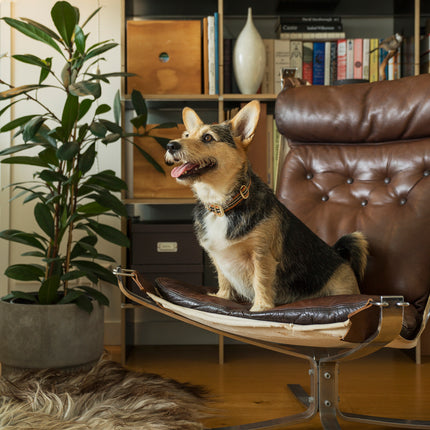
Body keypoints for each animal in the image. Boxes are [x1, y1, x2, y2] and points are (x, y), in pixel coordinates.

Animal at [166, 101, 368, 312]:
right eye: (186, 135)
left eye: (207, 137)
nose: (170, 145)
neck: (222, 205)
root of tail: (341, 258)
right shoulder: (218, 257)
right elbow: (224, 279)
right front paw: (222, 297)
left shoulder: (261, 254)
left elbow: (261, 280)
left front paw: (261, 307)